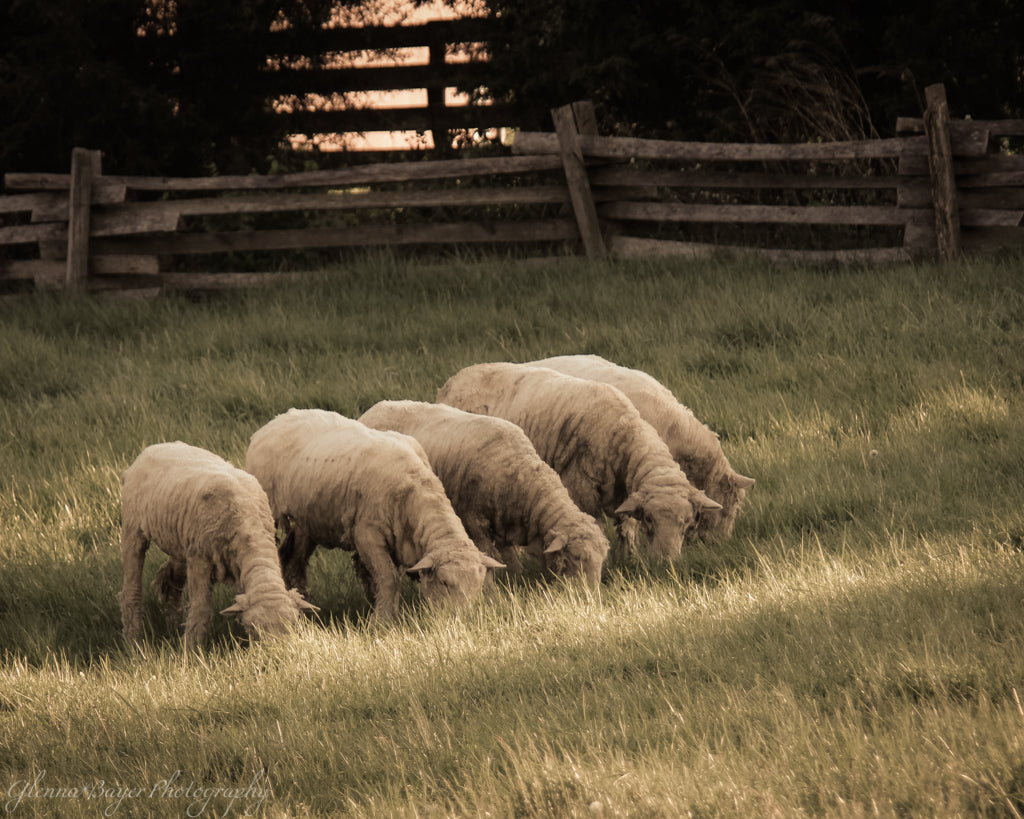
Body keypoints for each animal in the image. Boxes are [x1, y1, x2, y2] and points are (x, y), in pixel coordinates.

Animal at [118, 442, 315, 647]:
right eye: (255, 629)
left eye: (293, 626)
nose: (275, 653)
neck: (250, 526)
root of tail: (155, 447)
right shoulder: (199, 559)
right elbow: (201, 609)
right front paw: (191, 648)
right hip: (133, 528)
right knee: (131, 589)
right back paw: (133, 640)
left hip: (180, 541)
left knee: (170, 580)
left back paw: (173, 628)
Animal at [245, 408, 504, 623]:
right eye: (444, 582)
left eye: (478, 585)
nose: (463, 618)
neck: (414, 488)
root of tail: (276, 420)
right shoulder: (367, 532)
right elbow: (388, 577)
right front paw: (383, 621)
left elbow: (374, 577)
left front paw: (377, 607)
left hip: (306, 522)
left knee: (294, 562)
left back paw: (307, 610)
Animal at [359, 399, 609, 586]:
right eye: (576, 557)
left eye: (602, 559)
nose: (590, 595)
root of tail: (373, 409)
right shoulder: (474, 522)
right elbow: (488, 558)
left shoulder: (507, 523)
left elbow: (510, 559)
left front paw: (515, 579)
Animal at [437, 363, 722, 561]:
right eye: (650, 520)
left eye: (688, 523)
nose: (666, 562)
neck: (624, 433)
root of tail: (451, 381)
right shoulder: (581, 487)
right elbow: (595, 524)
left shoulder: (625, 495)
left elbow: (627, 527)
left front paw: (630, 557)